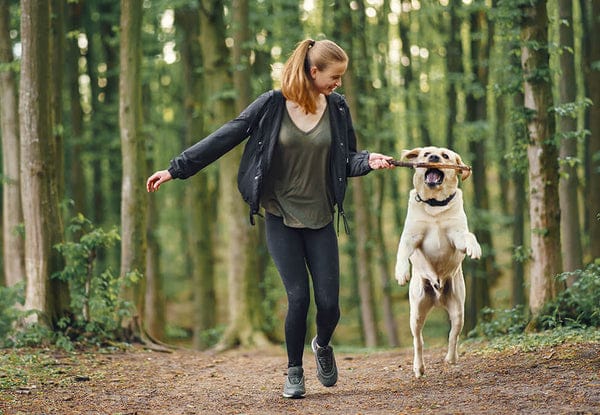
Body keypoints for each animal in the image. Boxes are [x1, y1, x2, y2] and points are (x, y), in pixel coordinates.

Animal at [394, 146, 481, 378]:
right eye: (425, 154)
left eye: (445, 156)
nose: (433, 158)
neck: (435, 206)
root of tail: (438, 297)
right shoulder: (411, 237)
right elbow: (402, 251)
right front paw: (401, 272)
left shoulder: (457, 235)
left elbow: (469, 236)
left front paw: (475, 248)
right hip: (416, 312)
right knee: (418, 341)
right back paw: (419, 367)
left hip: (458, 309)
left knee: (453, 335)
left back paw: (451, 358)